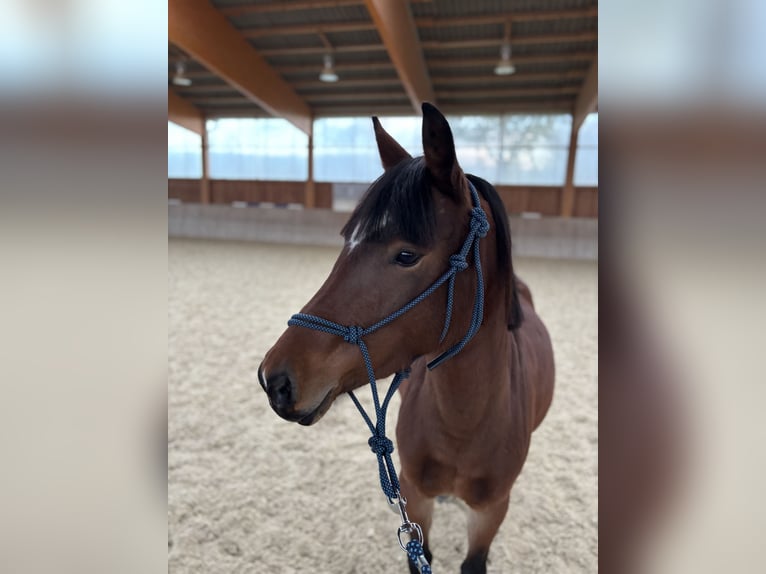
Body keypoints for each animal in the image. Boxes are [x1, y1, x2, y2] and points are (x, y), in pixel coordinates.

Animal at [259, 103, 555, 574]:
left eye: (405, 255)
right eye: (346, 242)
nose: (276, 379)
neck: (465, 422)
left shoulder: (491, 512)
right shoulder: (414, 498)